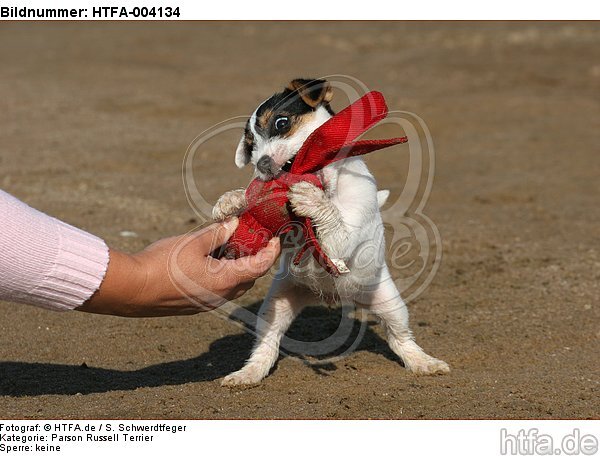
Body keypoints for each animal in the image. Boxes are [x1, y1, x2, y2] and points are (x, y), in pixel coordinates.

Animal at [213, 78, 448, 384]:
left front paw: (313, 200)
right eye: (251, 147)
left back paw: (423, 362)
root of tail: (330, 297)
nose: (262, 164)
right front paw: (233, 199)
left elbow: (333, 222)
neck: (329, 185)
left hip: (389, 302)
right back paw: (249, 372)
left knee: (400, 337)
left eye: (281, 123)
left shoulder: (341, 240)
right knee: (268, 343)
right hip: (276, 304)